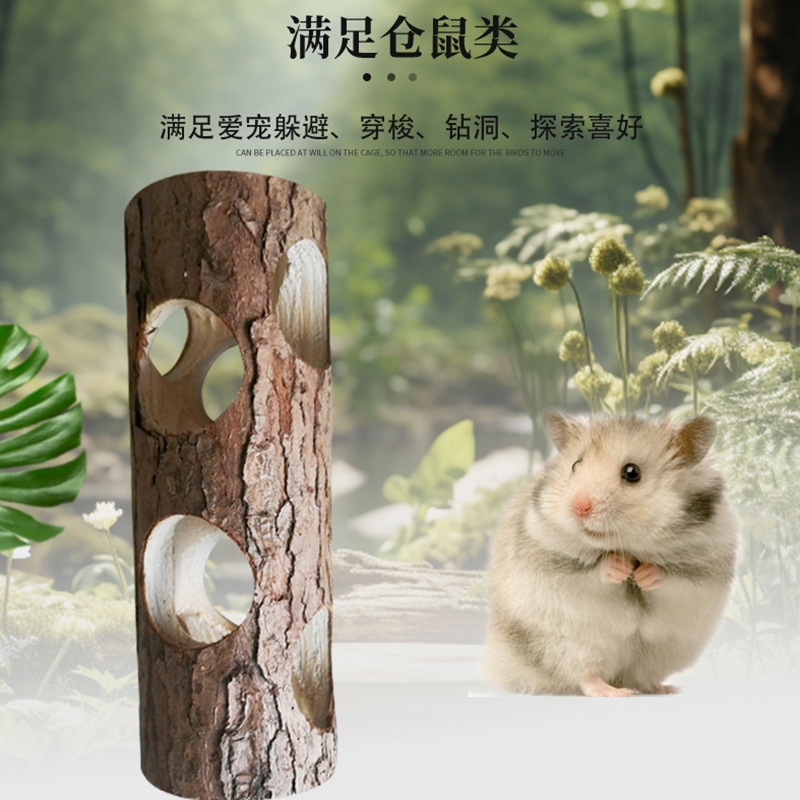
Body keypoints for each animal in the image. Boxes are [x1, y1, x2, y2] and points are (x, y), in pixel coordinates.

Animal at [482, 411, 738, 697]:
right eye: (575, 465)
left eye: (632, 472)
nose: (578, 507)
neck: (630, 546)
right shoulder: (552, 560)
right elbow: (593, 572)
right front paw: (620, 568)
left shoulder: (703, 569)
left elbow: (671, 577)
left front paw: (643, 574)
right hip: (566, 645)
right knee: (586, 676)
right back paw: (615, 692)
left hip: (661, 653)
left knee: (641, 677)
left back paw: (664, 688)